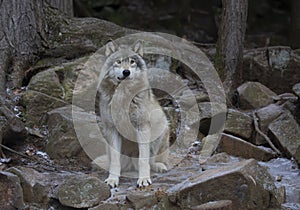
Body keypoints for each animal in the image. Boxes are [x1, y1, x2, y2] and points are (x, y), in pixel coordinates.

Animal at [98, 40, 169, 188]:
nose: (126, 72)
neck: (123, 96)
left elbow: (143, 160)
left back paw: (159, 166)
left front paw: (144, 179)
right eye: (118, 61)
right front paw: (112, 179)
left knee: (151, 161)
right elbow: (115, 161)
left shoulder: (142, 127)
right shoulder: (112, 129)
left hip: (162, 127)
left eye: (132, 62)